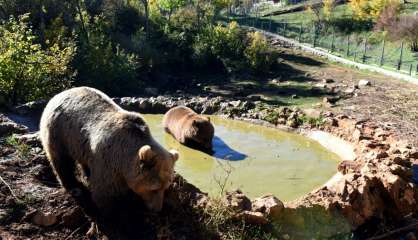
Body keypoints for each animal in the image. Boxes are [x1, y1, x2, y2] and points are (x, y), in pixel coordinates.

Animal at [40, 87, 180, 211]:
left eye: (166, 187)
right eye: (154, 188)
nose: (157, 209)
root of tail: (59, 94)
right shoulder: (108, 161)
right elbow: (106, 195)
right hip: (59, 131)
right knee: (61, 160)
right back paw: (72, 185)